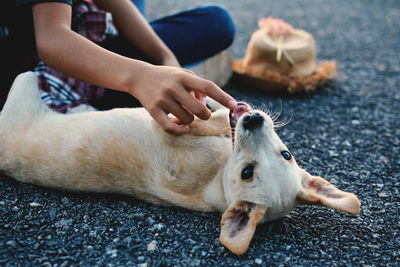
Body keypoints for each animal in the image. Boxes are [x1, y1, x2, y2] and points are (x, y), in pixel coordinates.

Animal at [0, 73, 360, 255]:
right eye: (287, 154)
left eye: (248, 174)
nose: (255, 120)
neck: (216, 177)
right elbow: (217, 116)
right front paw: (225, 108)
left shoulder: (170, 127)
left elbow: (204, 121)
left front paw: (217, 114)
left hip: (23, 86)